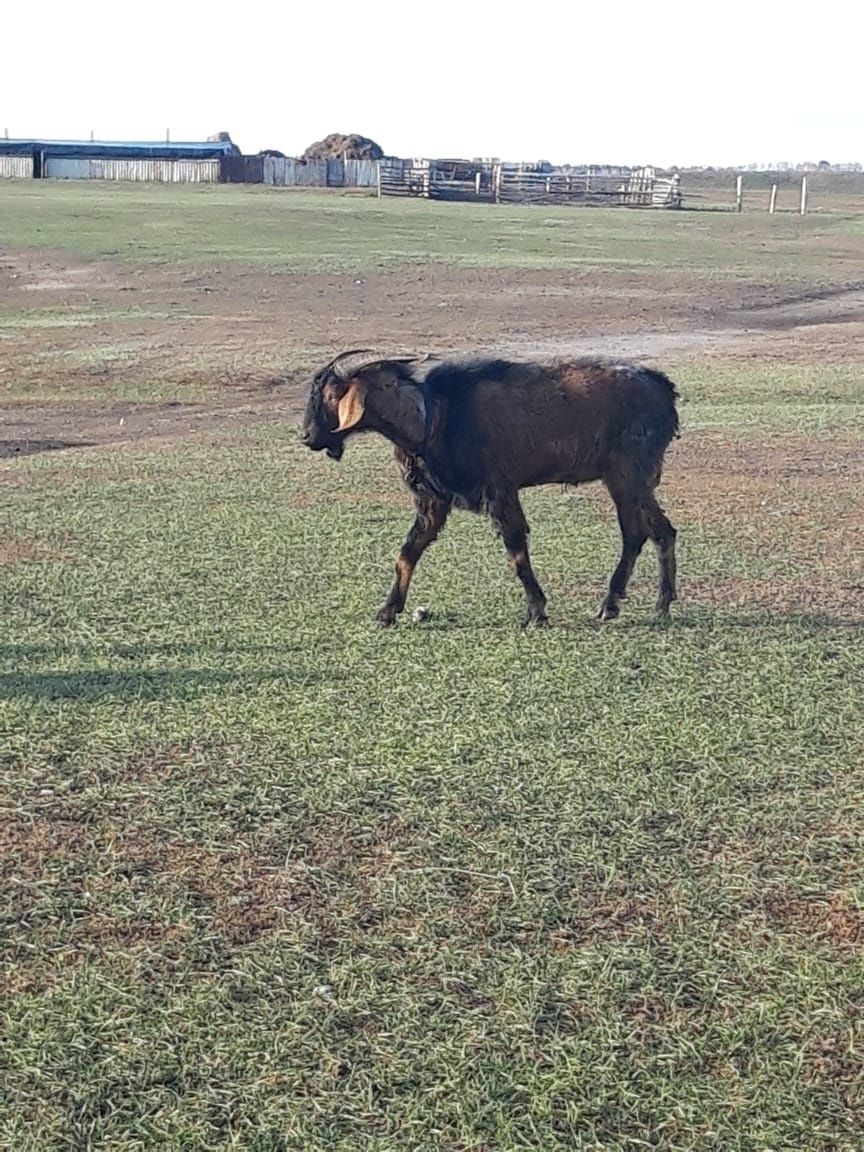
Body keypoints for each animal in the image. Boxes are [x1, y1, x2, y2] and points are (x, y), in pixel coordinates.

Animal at [301, 347, 681, 626]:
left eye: (332, 394)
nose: (306, 436)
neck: (433, 416)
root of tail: (665, 390)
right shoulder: (434, 502)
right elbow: (408, 552)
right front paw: (387, 611)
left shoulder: (500, 491)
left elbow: (516, 552)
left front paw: (536, 611)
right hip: (638, 482)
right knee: (664, 530)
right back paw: (662, 605)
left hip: (625, 476)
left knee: (634, 534)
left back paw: (610, 604)